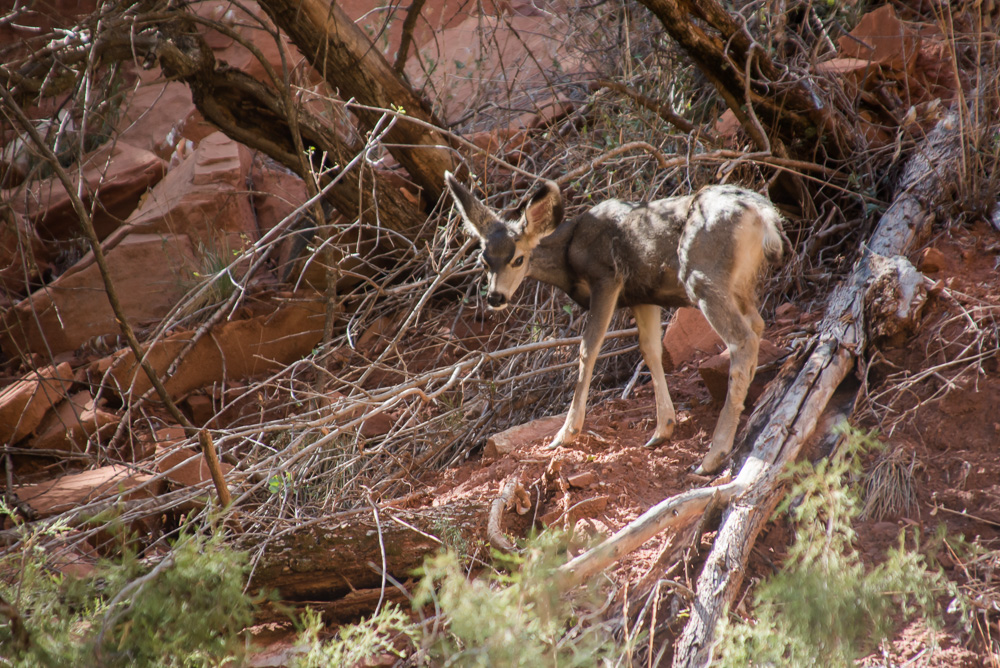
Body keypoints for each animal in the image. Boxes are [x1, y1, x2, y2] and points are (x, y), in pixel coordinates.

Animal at [443, 172, 785, 474]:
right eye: (483, 261)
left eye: (518, 259)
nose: (495, 297)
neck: (569, 256)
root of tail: (764, 216)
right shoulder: (642, 295)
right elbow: (650, 350)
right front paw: (663, 429)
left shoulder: (607, 277)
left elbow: (588, 349)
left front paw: (566, 433)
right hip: (740, 283)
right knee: (757, 326)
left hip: (702, 274)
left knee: (741, 339)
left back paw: (713, 456)